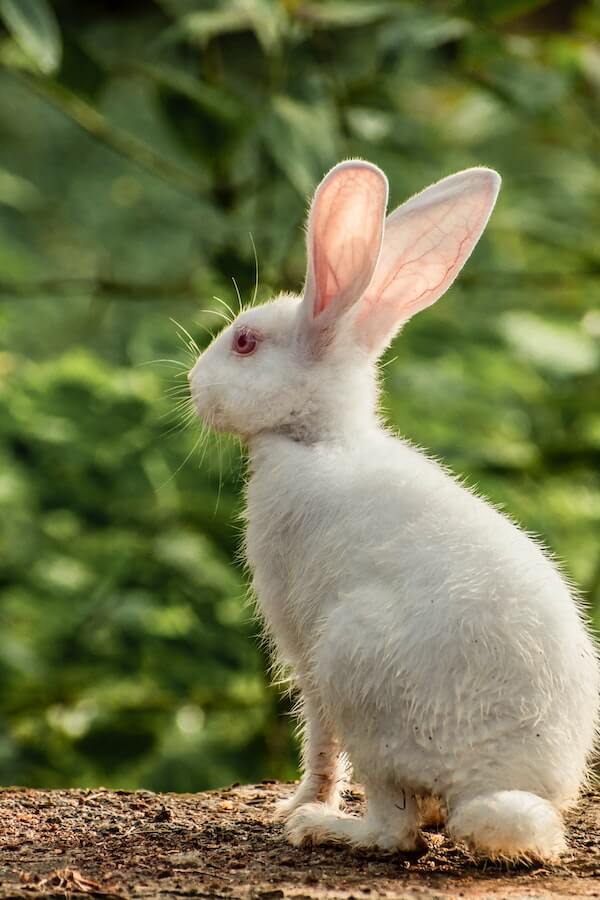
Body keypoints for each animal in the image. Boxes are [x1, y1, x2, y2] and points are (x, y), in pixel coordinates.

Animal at [188, 160, 599, 861]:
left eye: (244, 343)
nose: (193, 385)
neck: (317, 438)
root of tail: (496, 785)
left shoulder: (302, 646)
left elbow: (318, 742)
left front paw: (294, 805)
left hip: (355, 668)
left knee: (394, 829)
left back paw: (324, 827)